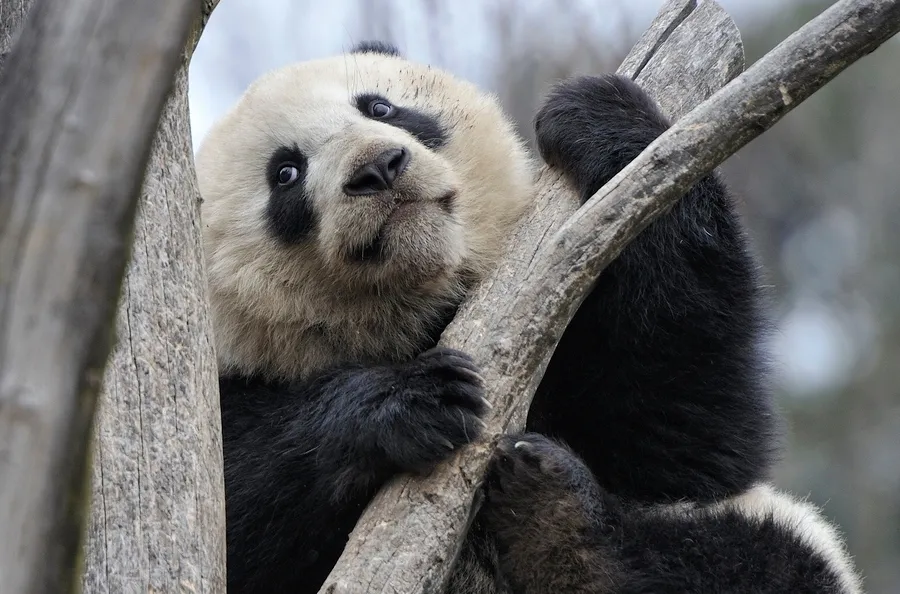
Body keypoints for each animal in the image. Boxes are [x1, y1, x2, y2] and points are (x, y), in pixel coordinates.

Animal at [193, 39, 860, 588]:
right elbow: (233, 506)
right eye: (285, 172)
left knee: (764, 561)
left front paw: (605, 121)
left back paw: (564, 530)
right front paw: (411, 400)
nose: (378, 167)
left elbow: (690, 431)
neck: (424, 305)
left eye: (380, 107)